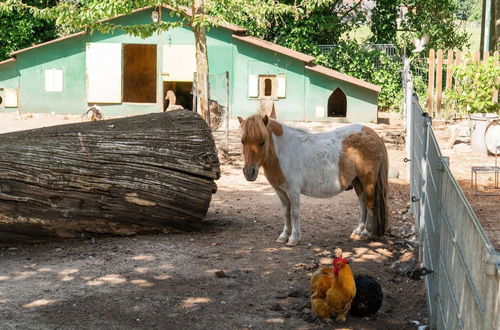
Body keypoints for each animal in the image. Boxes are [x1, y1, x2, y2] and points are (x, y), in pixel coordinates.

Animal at [239, 114, 390, 246]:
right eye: (243, 141)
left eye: (262, 141)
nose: (249, 172)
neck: (283, 152)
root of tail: (374, 135)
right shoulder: (280, 191)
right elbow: (286, 212)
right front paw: (284, 236)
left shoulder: (293, 191)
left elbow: (294, 212)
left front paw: (293, 238)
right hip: (358, 182)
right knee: (363, 205)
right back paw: (358, 231)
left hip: (368, 182)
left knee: (370, 205)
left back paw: (366, 232)